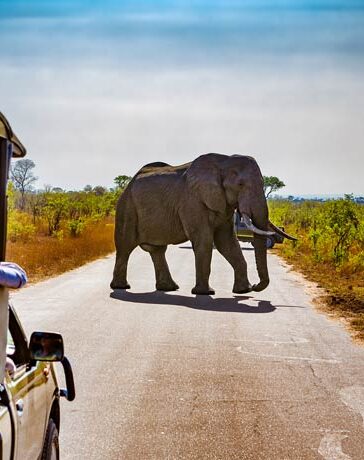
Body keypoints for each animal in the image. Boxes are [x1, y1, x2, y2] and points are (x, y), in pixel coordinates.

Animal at [111, 152, 296, 294]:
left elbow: (227, 242)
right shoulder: (192, 202)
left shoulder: (223, 206)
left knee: (157, 250)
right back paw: (122, 287)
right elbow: (204, 240)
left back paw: (169, 288)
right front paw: (205, 293)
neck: (223, 162)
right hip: (127, 208)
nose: (257, 286)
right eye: (240, 184)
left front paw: (243, 291)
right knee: (125, 246)